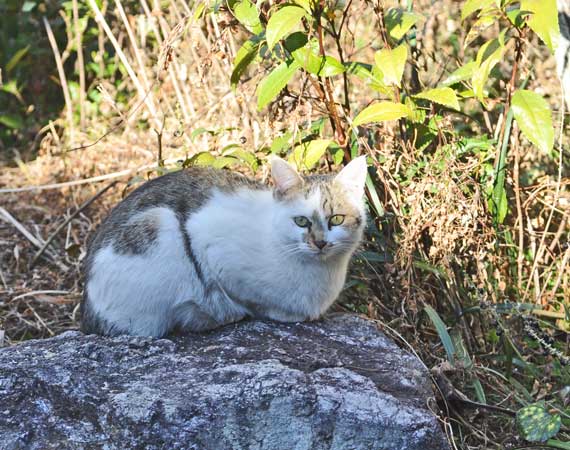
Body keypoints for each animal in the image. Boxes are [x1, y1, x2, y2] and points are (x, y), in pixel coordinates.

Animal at [80, 156, 366, 336]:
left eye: (336, 219)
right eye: (301, 221)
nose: (320, 242)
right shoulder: (208, 243)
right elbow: (245, 296)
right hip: (159, 224)